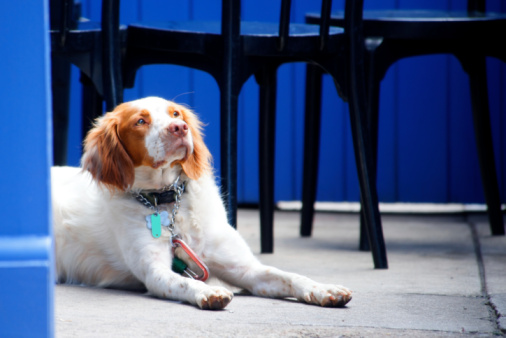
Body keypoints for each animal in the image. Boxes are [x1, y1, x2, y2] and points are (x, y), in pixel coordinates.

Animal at [51, 96, 352, 310]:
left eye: (175, 114)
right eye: (140, 121)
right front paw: (209, 292)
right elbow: (185, 283)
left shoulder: (246, 269)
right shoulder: (156, 272)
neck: (168, 203)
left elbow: (288, 276)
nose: (179, 128)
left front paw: (325, 289)